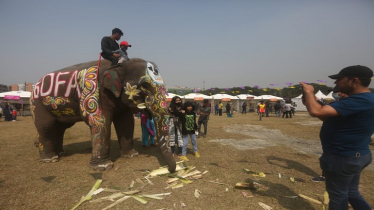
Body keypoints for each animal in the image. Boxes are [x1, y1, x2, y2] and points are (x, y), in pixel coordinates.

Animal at [30, 57, 176, 172]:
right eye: (144, 85)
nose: (170, 170)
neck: (118, 66)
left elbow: (126, 122)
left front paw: (131, 155)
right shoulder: (95, 92)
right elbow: (100, 121)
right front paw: (103, 167)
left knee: (60, 128)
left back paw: (61, 153)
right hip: (37, 104)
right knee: (45, 126)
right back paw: (50, 159)